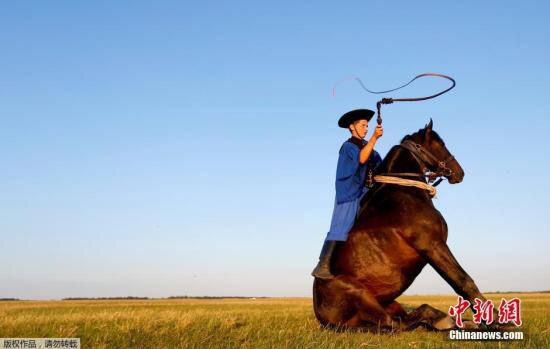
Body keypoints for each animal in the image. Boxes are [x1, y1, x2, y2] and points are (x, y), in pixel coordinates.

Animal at [314, 119, 500, 332]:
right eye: (441, 144)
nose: (460, 172)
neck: (405, 193)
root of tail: (322, 318)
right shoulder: (433, 245)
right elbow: (463, 281)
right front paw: (496, 320)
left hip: (390, 303)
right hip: (359, 292)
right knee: (394, 324)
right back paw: (444, 321)